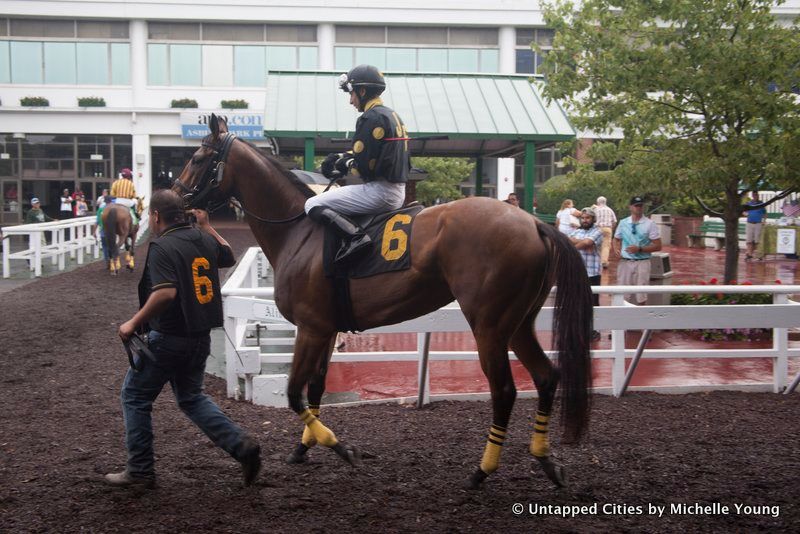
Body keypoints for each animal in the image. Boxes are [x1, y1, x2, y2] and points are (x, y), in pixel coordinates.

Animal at [177, 116, 592, 490]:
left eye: (197, 157)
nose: (175, 194)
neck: (300, 232)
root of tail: (534, 223)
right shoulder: (326, 329)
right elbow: (316, 389)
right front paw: (302, 450)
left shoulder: (310, 327)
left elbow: (295, 393)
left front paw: (341, 448)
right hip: (518, 323)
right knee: (546, 376)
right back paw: (546, 460)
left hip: (489, 326)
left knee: (504, 391)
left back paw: (482, 471)